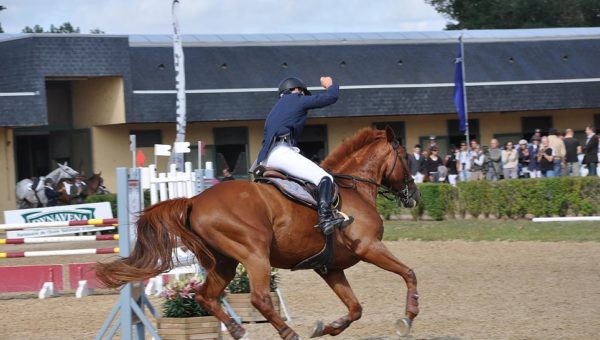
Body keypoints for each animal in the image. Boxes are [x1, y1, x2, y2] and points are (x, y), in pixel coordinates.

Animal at [96, 127, 420, 340]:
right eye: (405, 157)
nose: (414, 196)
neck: (354, 188)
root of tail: (194, 200)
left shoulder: (330, 267)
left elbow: (355, 308)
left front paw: (328, 328)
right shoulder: (369, 247)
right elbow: (409, 273)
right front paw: (408, 317)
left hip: (224, 262)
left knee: (206, 296)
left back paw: (238, 330)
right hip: (254, 254)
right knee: (260, 299)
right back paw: (288, 333)